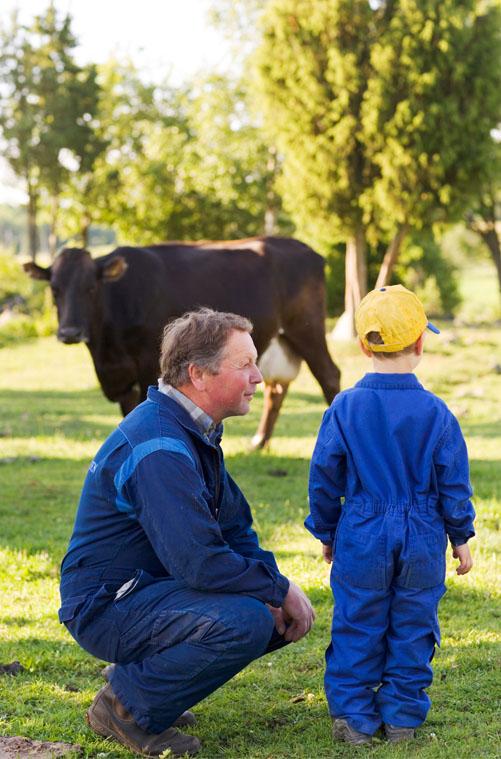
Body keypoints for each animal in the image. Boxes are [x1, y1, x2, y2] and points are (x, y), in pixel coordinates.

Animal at [25, 238, 342, 448]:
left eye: (91, 288)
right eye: (55, 289)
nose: (69, 332)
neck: (107, 352)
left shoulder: (147, 363)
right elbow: (129, 415)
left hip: (308, 329)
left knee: (329, 375)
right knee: (276, 389)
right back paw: (259, 442)